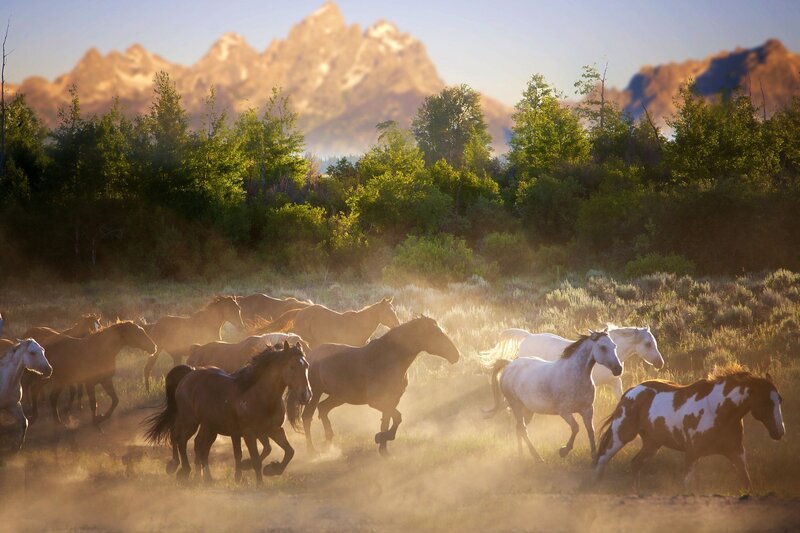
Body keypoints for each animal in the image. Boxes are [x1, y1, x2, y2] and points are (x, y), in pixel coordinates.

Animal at [28, 321, 156, 425]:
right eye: (138, 333)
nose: (154, 347)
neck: (100, 351)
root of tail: (43, 345)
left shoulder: (105, 380)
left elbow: (115, 400)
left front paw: (102, 417)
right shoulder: (89, 383)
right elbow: (93, 403)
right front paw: (96, 422)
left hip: (59, 380)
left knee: (51, 397)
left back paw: (56, 422)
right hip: (48, 378)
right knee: (36, 391)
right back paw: (38, 417)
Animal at [144, 342, 312, 486]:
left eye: (307, 366)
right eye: (292, 367)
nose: (306, 395)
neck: (259, 396)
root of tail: (189, 374)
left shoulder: (274, 430)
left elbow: (289, 451)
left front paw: (271, 469)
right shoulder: (249, 432)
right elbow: (256, 458)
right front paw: (259, 482)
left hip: (209, 427)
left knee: (200, 446)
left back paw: (205, 477)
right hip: (190, 421)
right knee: (180, 440)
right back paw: (182, 470)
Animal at [302, 316, 460, 456]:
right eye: (435, 334)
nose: (456, 355)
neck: (387, 359)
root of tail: (310, 355)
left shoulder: (392, 400)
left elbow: (387, 421)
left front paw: (383, 449)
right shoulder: (377, 402)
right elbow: (397, 418)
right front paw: (380, 437)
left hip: (339, 397)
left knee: (323, 409)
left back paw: (329, 443)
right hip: (314, 394)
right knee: (307, 417)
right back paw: (311, 451)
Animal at [484, 330, 622, 462]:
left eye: (614, 346)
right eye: (603, 347)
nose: (618, 369)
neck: (574, 375)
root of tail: (510, 365)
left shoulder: (587, 410)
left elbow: (590, 430)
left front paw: (594, 457)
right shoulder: (564, 412)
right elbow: (576, 428)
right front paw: (563, 450)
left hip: (528, 410)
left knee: (519, 429)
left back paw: (521, 455)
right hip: (516, 405)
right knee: (522, 429)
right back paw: (537, 457)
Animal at [593, 367, 785, 491]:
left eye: (779, 400)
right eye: (766, 402)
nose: (779, 431)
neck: (718, 410)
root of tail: (631, 391)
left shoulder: (736, 452)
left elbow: (746, 482)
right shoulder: (692, 453)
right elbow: (687, 486)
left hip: (652, 444)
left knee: (635, 464)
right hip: (621, 435)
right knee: (602, 460)